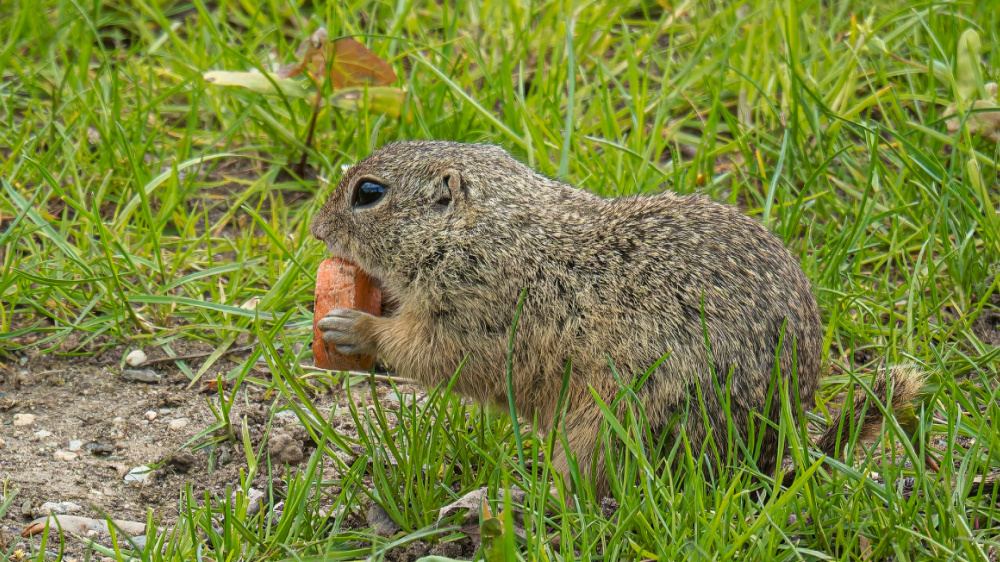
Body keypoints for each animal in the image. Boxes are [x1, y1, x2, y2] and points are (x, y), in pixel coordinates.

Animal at [310, 141, 920, 494]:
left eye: (369, 192)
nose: (315, 230)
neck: (486, 232)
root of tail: (755, 474)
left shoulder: (482, 319)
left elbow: (434, 356)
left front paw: (353, 328)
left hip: (612, 424)